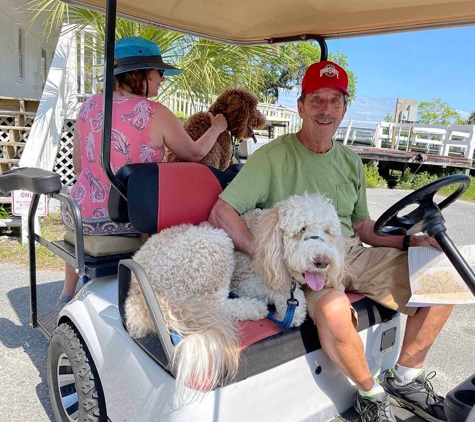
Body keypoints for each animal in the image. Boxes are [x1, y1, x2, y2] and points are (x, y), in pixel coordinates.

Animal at [124, 191, 352, 402]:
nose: (321, 261)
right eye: (301, 230)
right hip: (214, 244)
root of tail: (138, 292)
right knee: (217, 304)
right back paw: (254, 308)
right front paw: (284, 300)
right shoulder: (245, 281)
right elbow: (286, 300)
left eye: (327, 232)